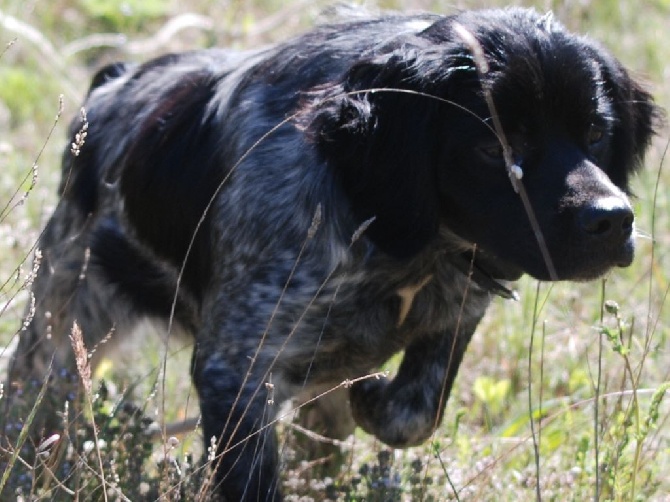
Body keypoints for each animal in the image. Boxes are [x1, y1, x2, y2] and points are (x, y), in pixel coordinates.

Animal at [3, 5, 656, 500]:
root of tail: (112, 83)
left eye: (596, 131)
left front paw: (375, 399)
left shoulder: (458, 308)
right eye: (494, 148)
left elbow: (413, 413)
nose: (612, 220)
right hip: (59, 333)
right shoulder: (236, 365)